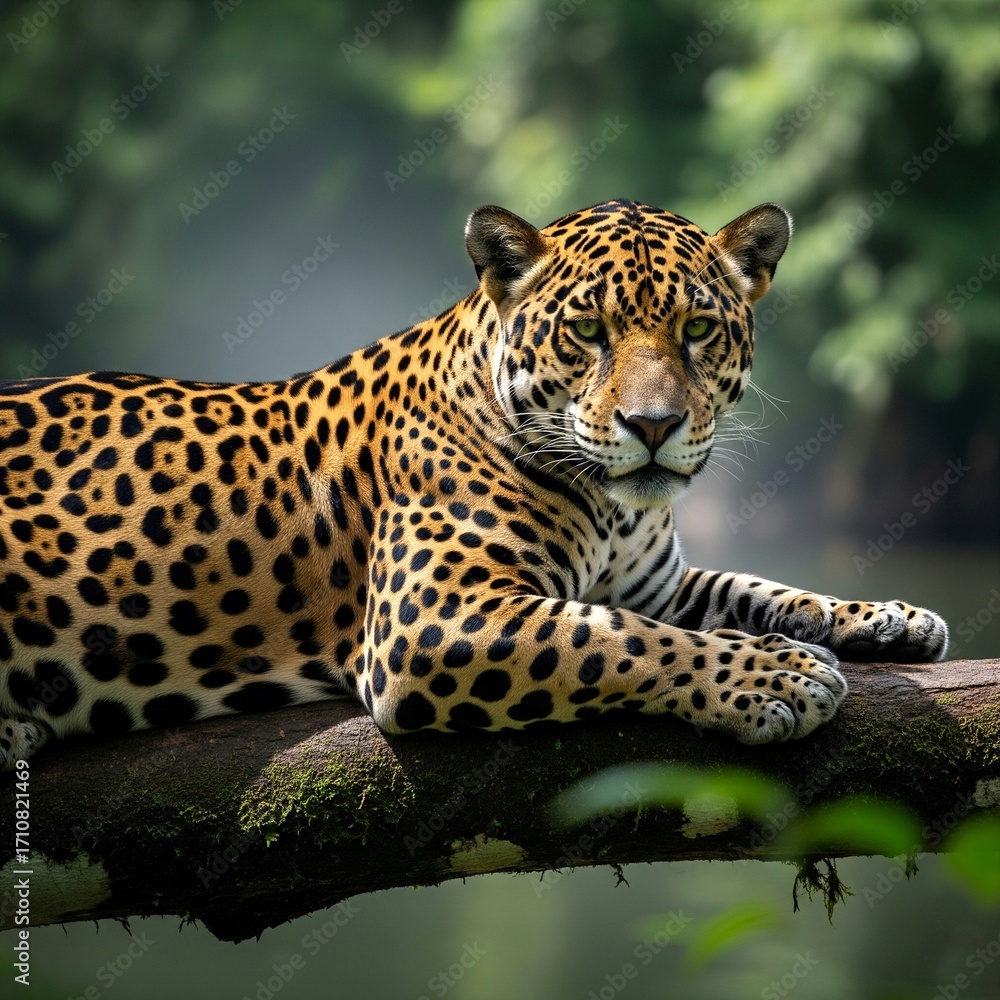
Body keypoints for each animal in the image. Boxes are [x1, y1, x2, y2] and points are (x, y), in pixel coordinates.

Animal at [0, 199, 948, 768]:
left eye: (698, 329)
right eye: (588, 331)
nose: (652, 426)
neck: (614, 511)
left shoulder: (655, 584)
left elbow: (754, 588)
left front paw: (885, 618)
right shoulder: (433, 617)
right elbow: (621, 640)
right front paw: (778, 676)